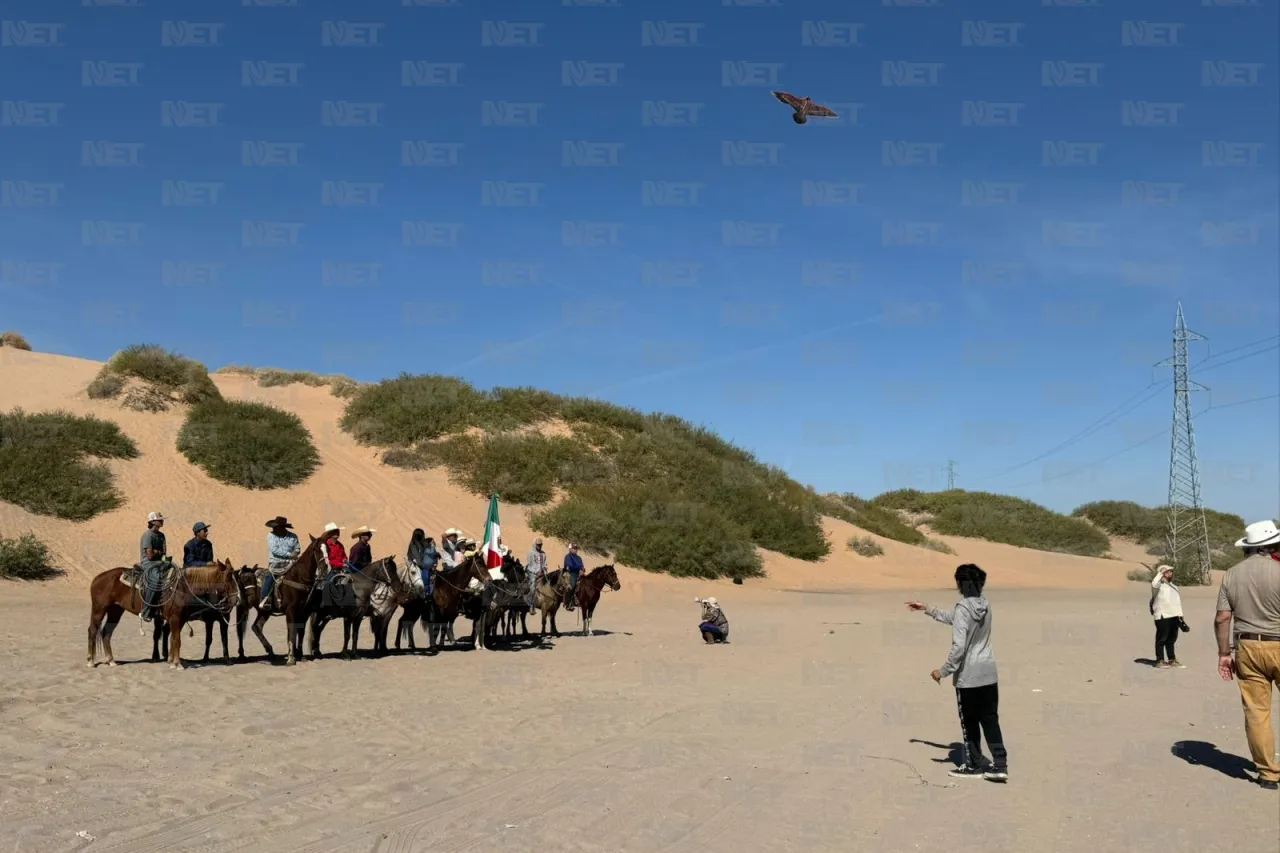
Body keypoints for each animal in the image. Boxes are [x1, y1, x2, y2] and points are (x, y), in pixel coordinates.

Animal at [244, 532, 325, 666]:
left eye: (328, 549)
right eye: (316, 549)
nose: (324, 569)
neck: (298, 577)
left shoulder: (304, 612)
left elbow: (300, 631)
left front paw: (300, 655)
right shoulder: (290, 610)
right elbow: (291, 631)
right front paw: (291, 658)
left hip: (264, 611)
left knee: (256, 626)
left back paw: (270, 651)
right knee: (255, 626)